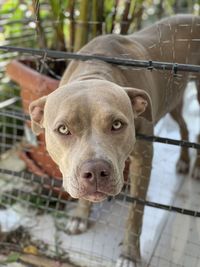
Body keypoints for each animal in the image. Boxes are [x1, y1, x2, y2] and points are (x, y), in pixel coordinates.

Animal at [29, 15, 200, 267]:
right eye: (63, 129)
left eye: (117, 125)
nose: (95, 172)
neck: (95, 71)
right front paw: (80, 217)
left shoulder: (144, 158)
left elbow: (136, 211)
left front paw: (129, 254)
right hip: (174, 100)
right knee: (185, 127)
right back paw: (185, 161)